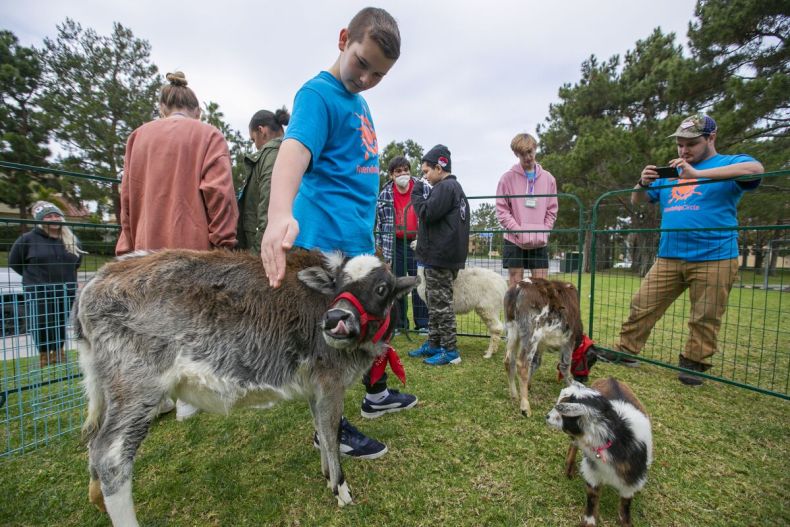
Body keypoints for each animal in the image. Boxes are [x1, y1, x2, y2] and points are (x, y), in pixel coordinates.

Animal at [75, 250, 420, 524]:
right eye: (337, 284)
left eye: (381, 288)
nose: (335, 318)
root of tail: (99, 277)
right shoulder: (330, 381)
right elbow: (332, 433)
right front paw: (341, 490)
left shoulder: (316, 386)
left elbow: (321, 430)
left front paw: (326, 477)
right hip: (138, 386)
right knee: (110, 455)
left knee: (93, 441)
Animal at [548, 380, 652, 527]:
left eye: (562, 415)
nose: (547, 417)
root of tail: (611, 378)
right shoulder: (593, 471)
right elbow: (592, 498)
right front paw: (589, 522)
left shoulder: (632, 479)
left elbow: (626, 504)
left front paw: (625, 522)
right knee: (573, 445)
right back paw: (569, 470)